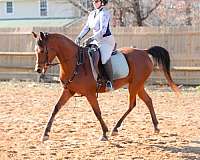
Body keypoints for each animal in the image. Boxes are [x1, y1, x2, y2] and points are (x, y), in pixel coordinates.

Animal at [32, 31, 179, 141]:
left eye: (42, 50)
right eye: (36, 50)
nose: (38, 69)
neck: (76, 62)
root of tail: (144, 51)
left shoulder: (90, 94)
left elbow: (97, 112)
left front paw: (104, 133)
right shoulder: (68, 91)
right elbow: (56, 108)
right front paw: (45, 133)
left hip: (135, 85)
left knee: (132, 104)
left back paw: (115, 128)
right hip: (138, 85)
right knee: (148, 101)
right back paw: (155, 127)